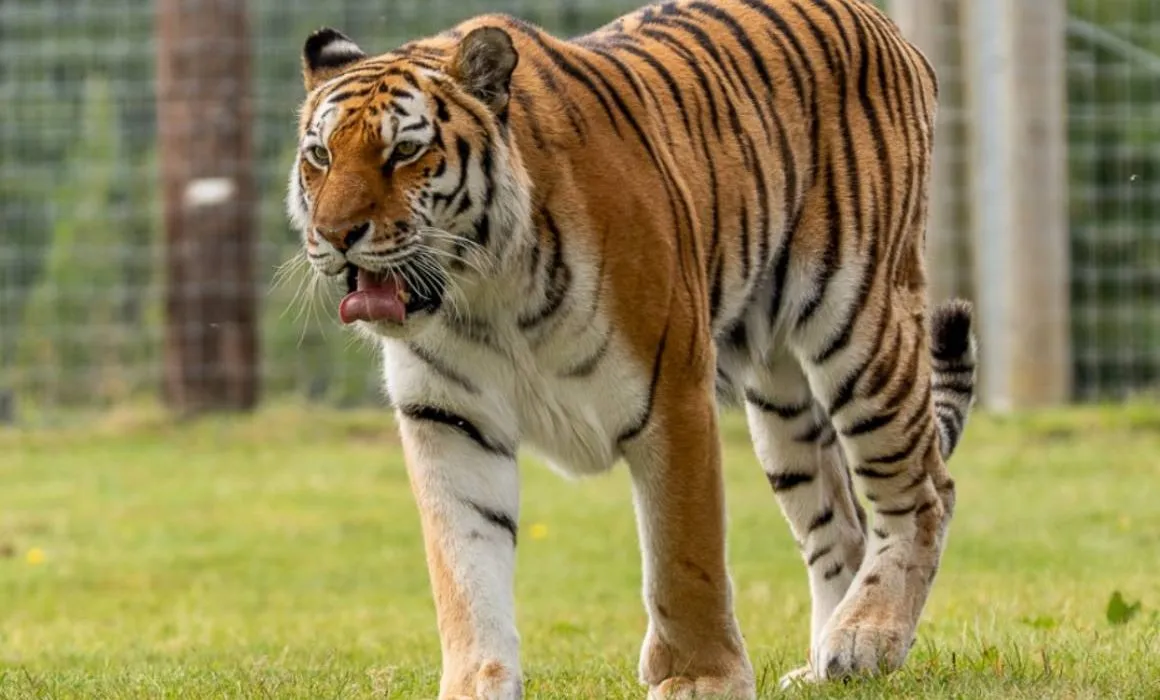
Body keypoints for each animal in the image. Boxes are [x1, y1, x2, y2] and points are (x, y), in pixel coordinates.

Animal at [284, 0, 978, 697]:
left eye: (405, 151)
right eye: (319, 154)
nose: (334, 235)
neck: (485, 294)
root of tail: (881, 23)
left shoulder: (673, 393)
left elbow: (683, 558)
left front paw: (700, 679)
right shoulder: (450, 419)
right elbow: (464, 571)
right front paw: (475, 685)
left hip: (859, 323)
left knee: (925, 493)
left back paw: (866, 639)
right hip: (782, 403)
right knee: (841, 525)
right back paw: (826, 664)